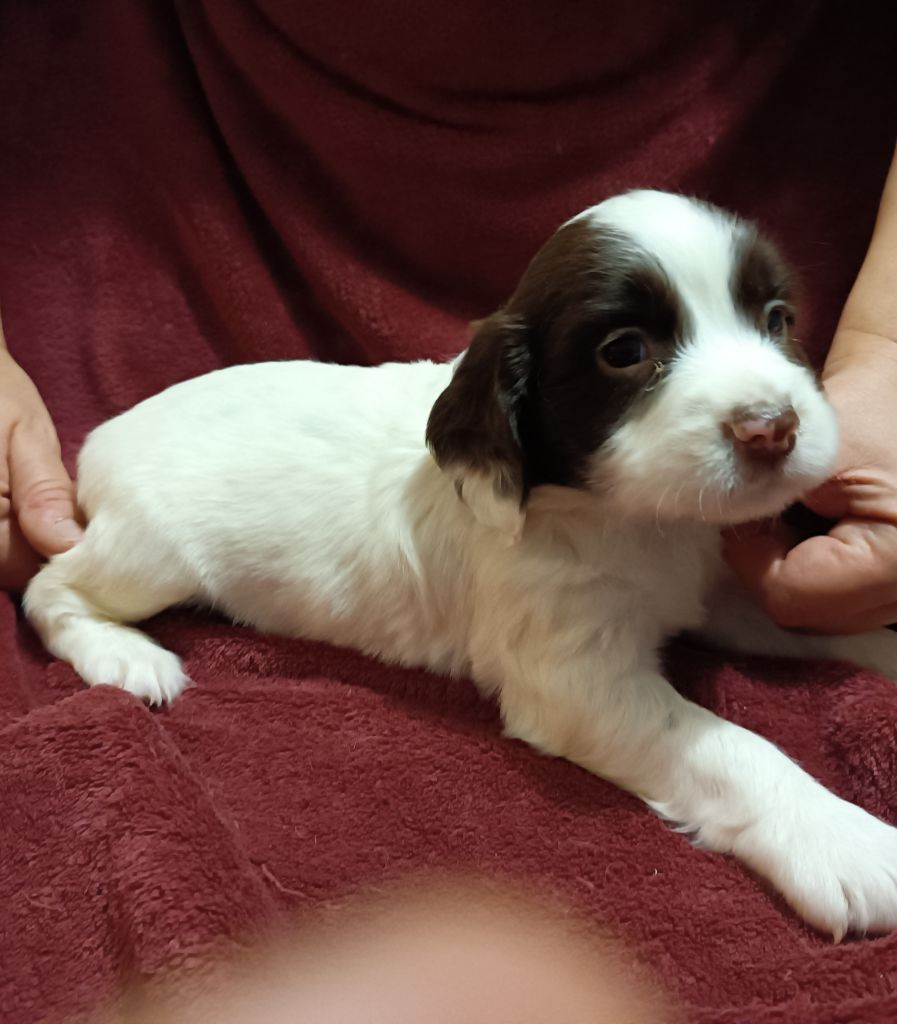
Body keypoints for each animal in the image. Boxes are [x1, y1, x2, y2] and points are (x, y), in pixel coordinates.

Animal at [25, 190, 897, 939]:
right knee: (49, 585)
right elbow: (729, 749)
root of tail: (102, 435)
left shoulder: (705, 587)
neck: (623, 519)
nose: (771, 427)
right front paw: (843, 841)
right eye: (624, 351)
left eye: (777, 319)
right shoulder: (574, 679)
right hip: (152, 550)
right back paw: (124, 656)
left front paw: (880, 640)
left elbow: (792, 617)